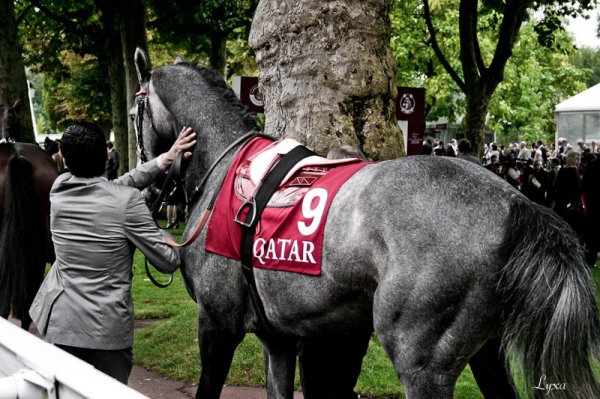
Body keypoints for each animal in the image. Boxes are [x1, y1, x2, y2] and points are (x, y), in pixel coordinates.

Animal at [132, 47, 600, 399]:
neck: (227, 167)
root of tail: (516, 203)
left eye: (135, 112)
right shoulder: (279, 339)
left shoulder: (216, 324)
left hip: (422, 362)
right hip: (488, 354)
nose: (149, 191)